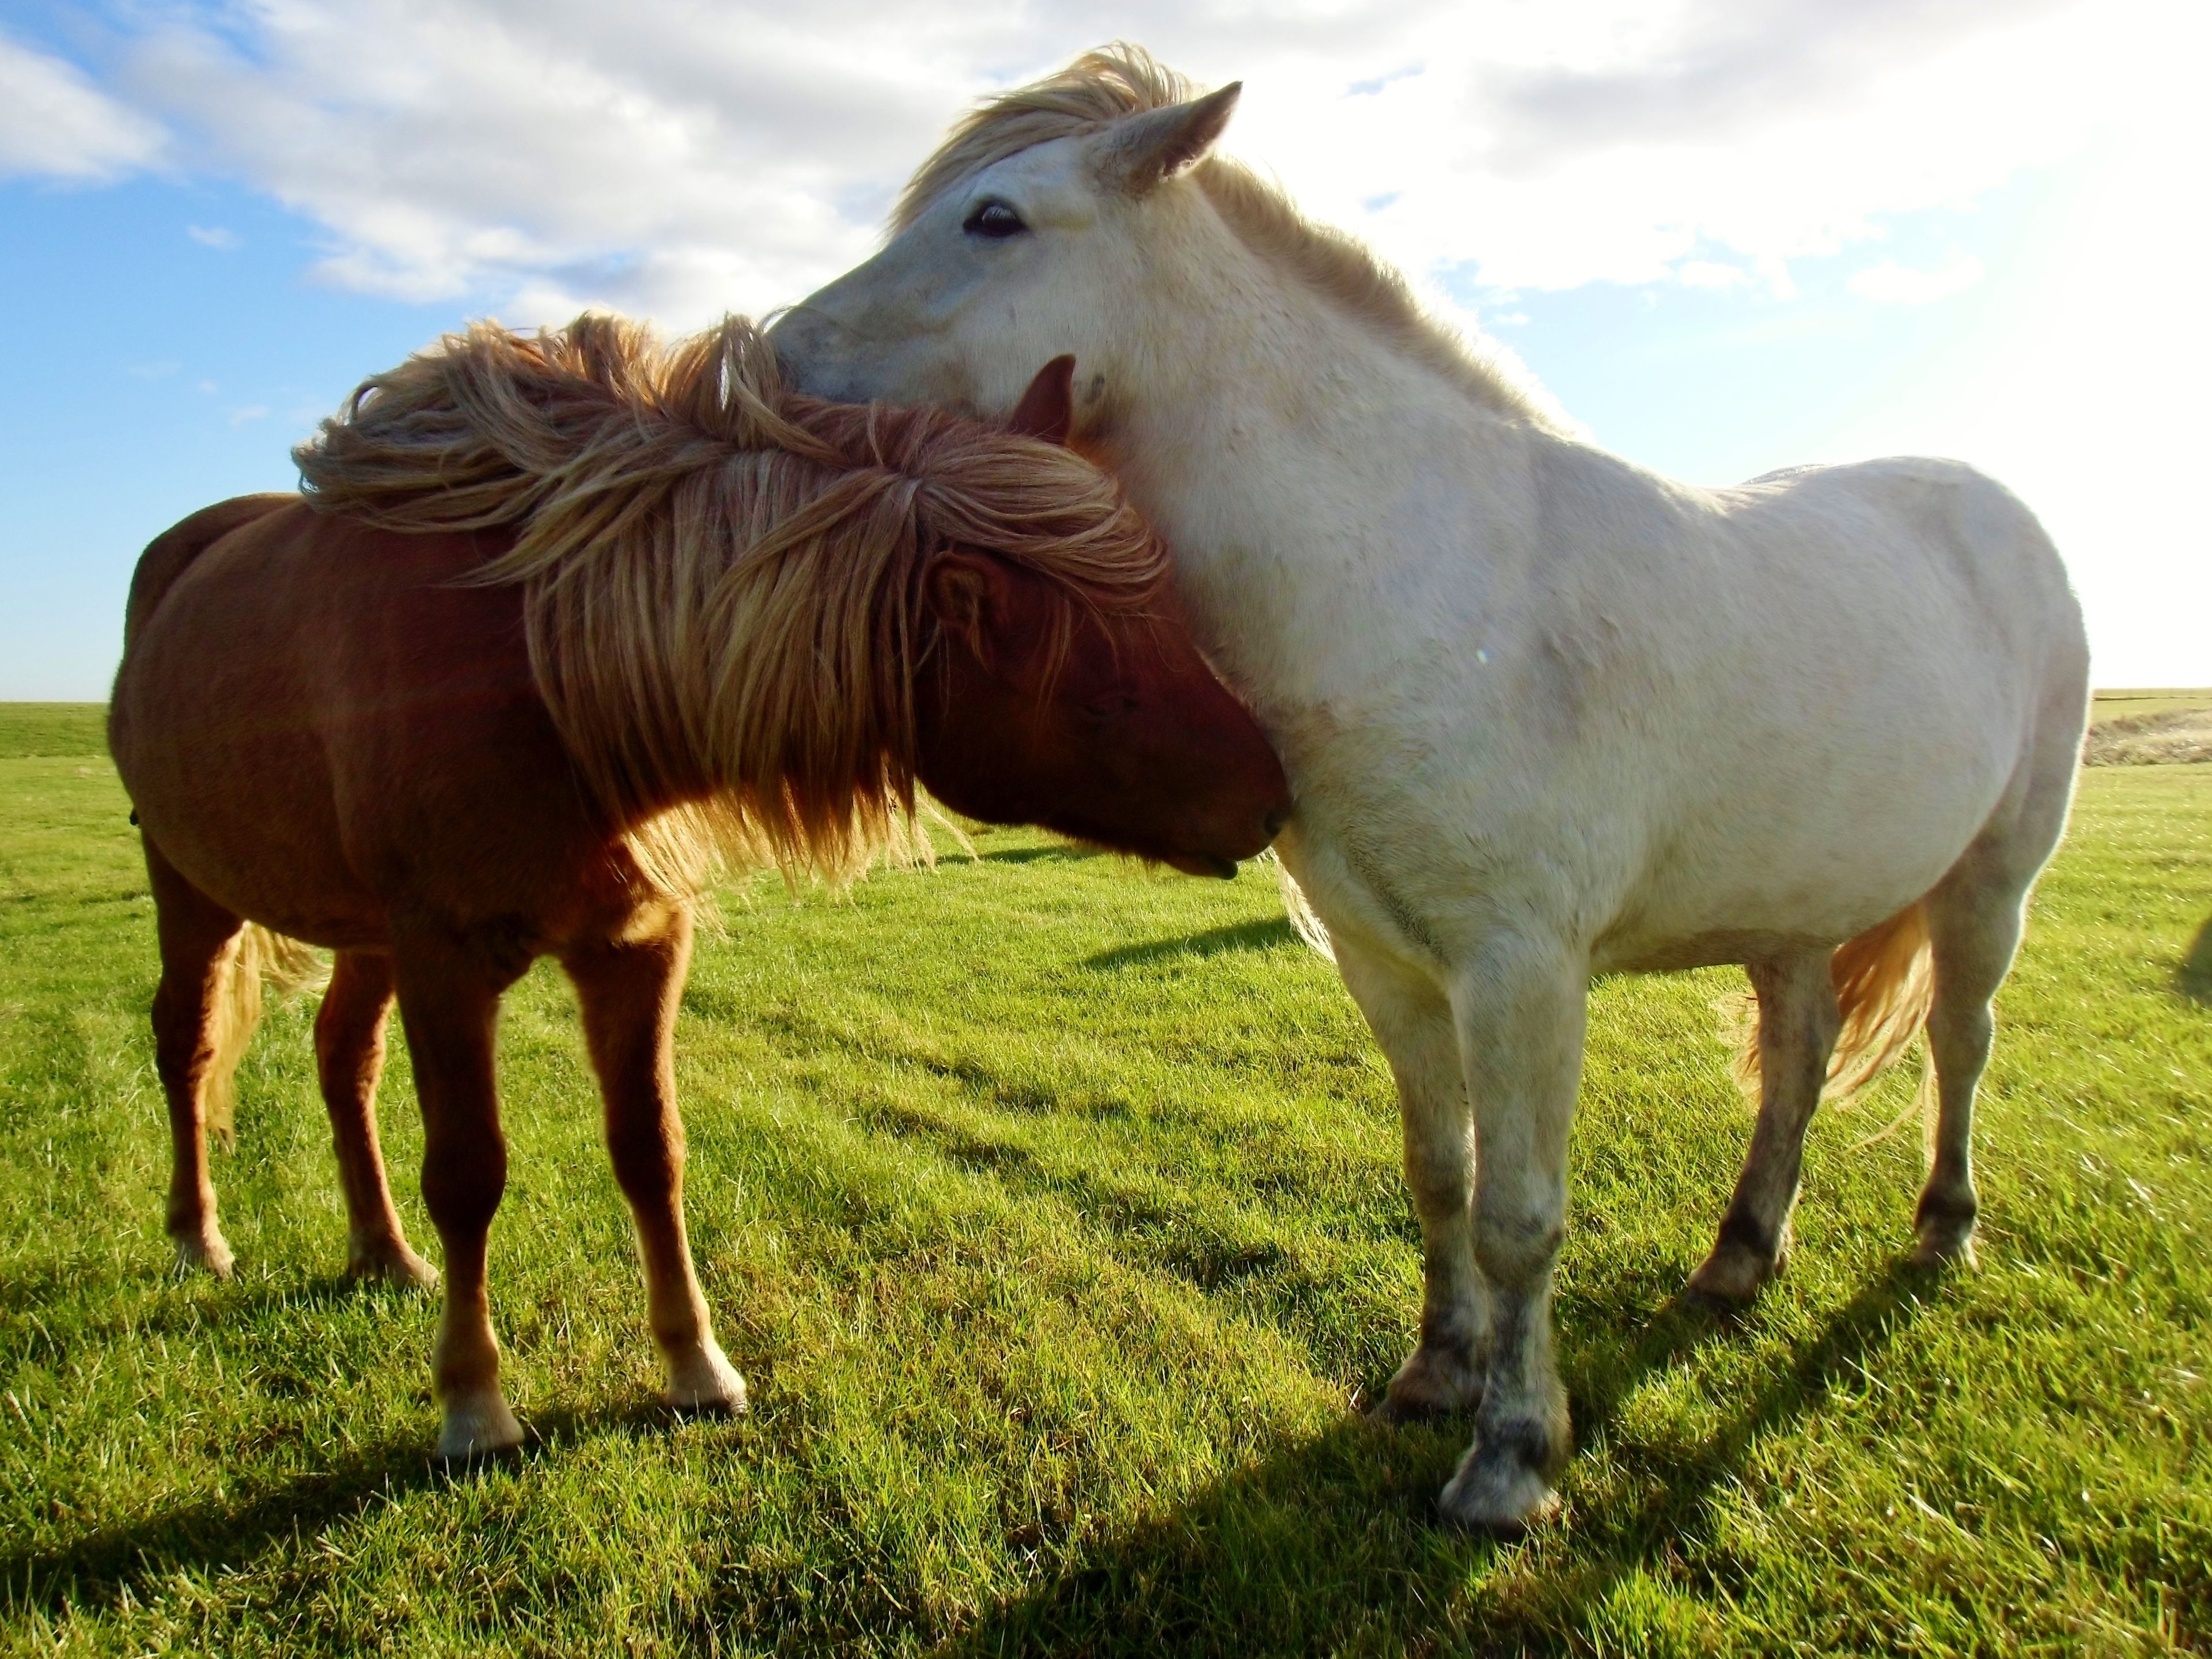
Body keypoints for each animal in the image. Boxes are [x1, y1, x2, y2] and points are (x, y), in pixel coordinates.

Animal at [108, 312, 1291, 1459]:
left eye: (1176, 619)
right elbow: (469, 1175)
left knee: (341, 1060)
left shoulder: (633, 947)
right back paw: (198, 1234)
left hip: (366, 936)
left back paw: (382, 1251)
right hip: (197, 893)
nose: (1274, 801)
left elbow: (652, 1152)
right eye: (1106, 697)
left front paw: (695, 1366)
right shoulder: (448, 959)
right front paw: (474, 1403)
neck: (541, 671)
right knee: (188, 1042)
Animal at [768, 45, 2091, 1529]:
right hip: (1789, 907)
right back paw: (1740, 1256)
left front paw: (1510, 1456)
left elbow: (1521, 1215)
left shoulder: (1521, 971)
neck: (1417, 576)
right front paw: (1435, 1373)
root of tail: (1992, 507)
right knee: (1797, 1059)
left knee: (1961, 1043)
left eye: (994, 218)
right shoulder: (1386, 964)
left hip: (1992, 882)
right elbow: (1438, 1174)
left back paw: (1942, 1230)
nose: (764, 367)